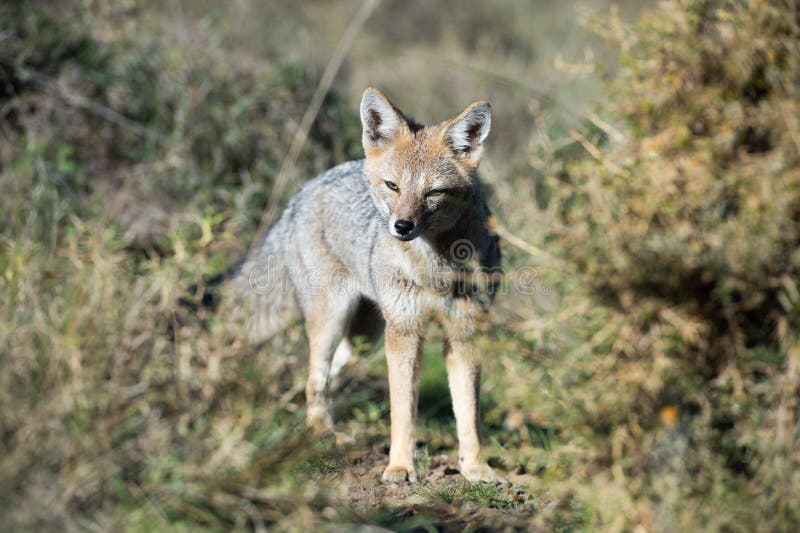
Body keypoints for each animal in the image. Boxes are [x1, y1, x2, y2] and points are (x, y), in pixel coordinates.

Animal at [230, 88, 501, 483]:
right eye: (393, 186)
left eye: (433, 192)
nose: (402, 226)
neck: (435, 268)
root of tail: (305, 189)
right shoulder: (404, 332)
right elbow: (403, 410)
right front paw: (400, 466)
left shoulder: (465, 333)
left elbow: (469, 414)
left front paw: (476, 467)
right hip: (334, 319)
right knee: (314, 379)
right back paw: (323, 432)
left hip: (364, 336)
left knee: (324, 373)